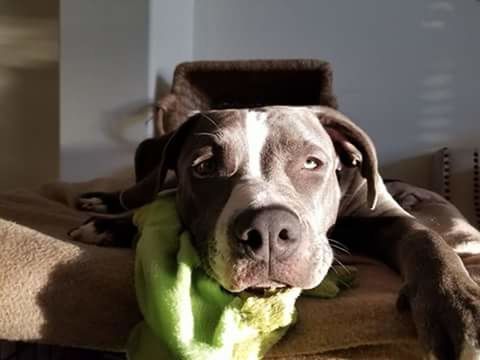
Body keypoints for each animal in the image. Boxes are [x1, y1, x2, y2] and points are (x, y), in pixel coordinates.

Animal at [69, 105, 480, 358]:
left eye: (312, 163)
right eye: (204, 167)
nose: (267, 230)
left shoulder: (385, 217)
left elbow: (425, 238)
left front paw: (458, 304)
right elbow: (162, 200)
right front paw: (112, 224)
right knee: (146, 189)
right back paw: (104, 205)